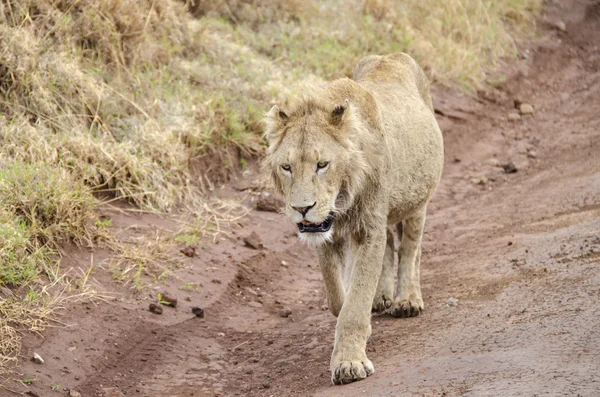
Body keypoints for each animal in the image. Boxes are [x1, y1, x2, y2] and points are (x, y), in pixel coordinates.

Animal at [264, 52, 442, 384]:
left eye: (322, 164)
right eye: (286, 167)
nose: (302, 208)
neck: (341, 200)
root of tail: (391, 55)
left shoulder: (368, 228)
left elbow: (354, 306)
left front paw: (349, 363)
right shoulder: (325, 234)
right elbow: (338, 298)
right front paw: (355, 301)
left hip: (418, 200)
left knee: (411, 249)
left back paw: (407, 300)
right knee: (390, 247)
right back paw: (382, 297)